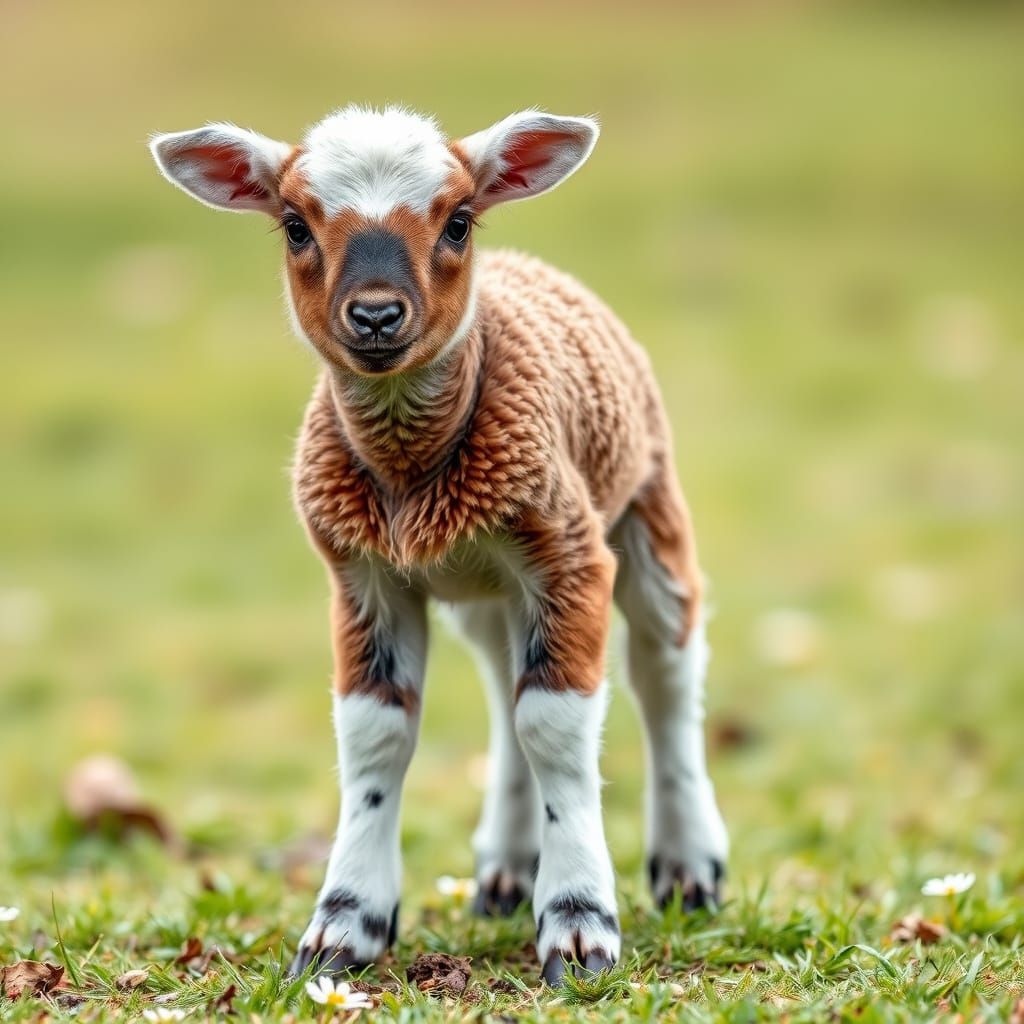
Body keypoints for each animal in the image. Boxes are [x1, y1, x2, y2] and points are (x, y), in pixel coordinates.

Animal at [150, 105, 728, 984]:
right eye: (295, 225)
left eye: (456, 221)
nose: (376, 315)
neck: (412, 475)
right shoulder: (363, 577)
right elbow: (376, 735)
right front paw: (343, 927)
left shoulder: (568, 553)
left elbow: (557, 726)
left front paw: (579, 926)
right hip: (488, 593)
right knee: (502, 684)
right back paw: (507, 868)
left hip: (644, 510)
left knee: (665, 676)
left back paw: (690, 867)